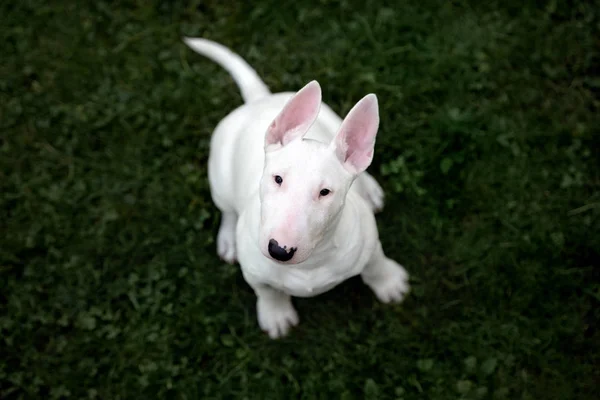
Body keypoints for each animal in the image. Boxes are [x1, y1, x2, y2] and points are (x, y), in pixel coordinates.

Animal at [184, 37, 408, 338]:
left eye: (325, 192)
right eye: (278, 179)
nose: (280, 250)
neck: (312, 261)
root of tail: (260, 99)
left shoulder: (369, 242)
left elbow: (375, 264)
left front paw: (390, 284)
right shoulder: (255, 273)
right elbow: (267, 292)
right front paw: (276, 317)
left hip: (333, 118)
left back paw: (370, 190)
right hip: (218, 176)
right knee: (227, 210)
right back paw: (228, 239)